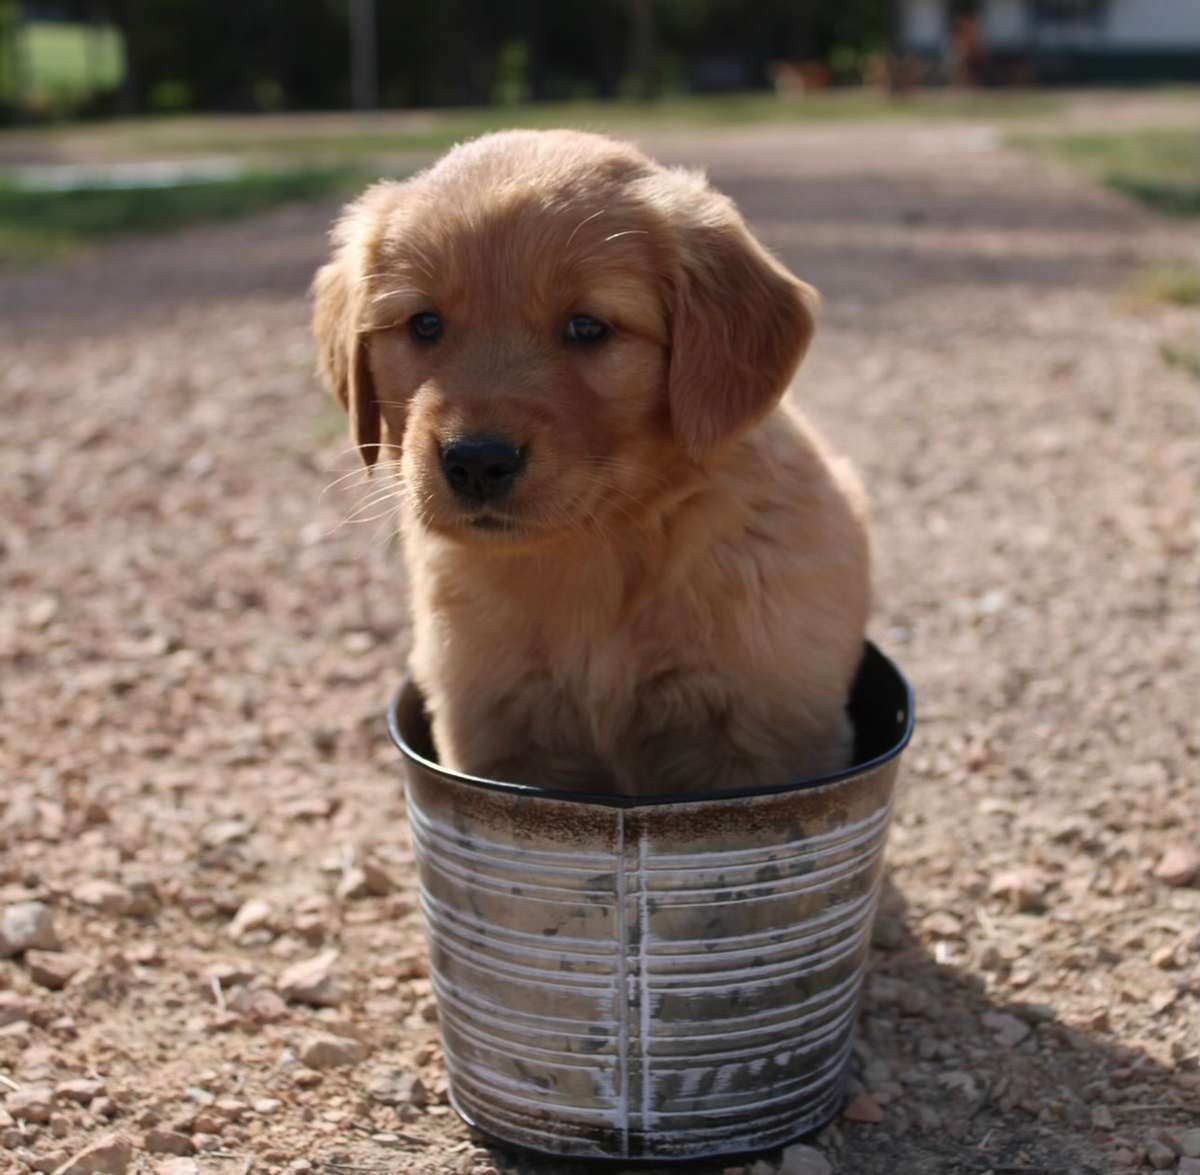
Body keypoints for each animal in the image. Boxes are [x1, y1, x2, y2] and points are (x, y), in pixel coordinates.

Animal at [314, 128, 868, 796]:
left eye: (586, 326)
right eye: (423, 323)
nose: (476, 461)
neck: (594, 556)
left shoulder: (764, 730)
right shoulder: (491, 725)